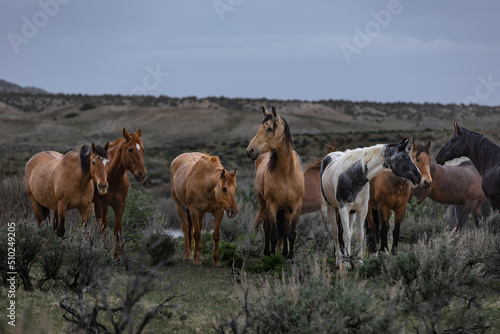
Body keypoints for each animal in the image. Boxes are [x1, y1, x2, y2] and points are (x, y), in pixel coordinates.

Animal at [246, 105, 304, 258]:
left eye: (269, 129)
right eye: (259, 128)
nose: (250, 151)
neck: (286, 173)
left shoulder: (296, 206)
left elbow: (290, 233)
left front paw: (290, 256)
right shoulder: (271, 205)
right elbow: (273, 234)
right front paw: (272, 257)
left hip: (285, 209)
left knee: (284, 228)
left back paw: (284, 252)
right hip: (263, 204)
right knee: (267, 228)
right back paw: (267, 252)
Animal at [320, 137, 422, 268]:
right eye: (406, 157)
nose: (419, 177)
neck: (353, 176)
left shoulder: (362, 209)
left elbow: (359, 234)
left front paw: (359, 261)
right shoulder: (344, 208)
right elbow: (346, 235)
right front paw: (347, 263)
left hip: (352, 213)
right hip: (331, 207)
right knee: (336, 231)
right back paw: (339, 259)